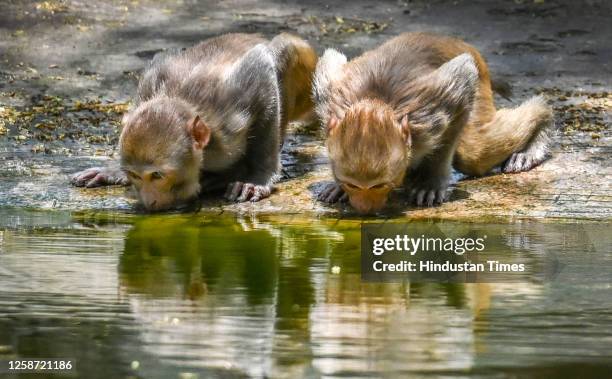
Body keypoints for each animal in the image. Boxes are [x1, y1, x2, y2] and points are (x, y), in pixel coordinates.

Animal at [71, 33, 318, 212]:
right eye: (135, 175)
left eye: (157, 175)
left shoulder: (229, 126)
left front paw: (258, 177)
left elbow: (261, 69)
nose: (149, 202)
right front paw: (114, 171)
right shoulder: (150, 84)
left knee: (282, 48)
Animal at [314, 31, 552, 215]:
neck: (375, 99)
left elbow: (464, 76)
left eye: (378, 186)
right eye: (352, 184)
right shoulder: (328, 100)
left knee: (474, 155)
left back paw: (541, 124)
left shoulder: (428, 114)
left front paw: (431, 182)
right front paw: (338, 187)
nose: (364, 208)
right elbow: (330, 58)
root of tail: (448, 39)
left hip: (480, 89)